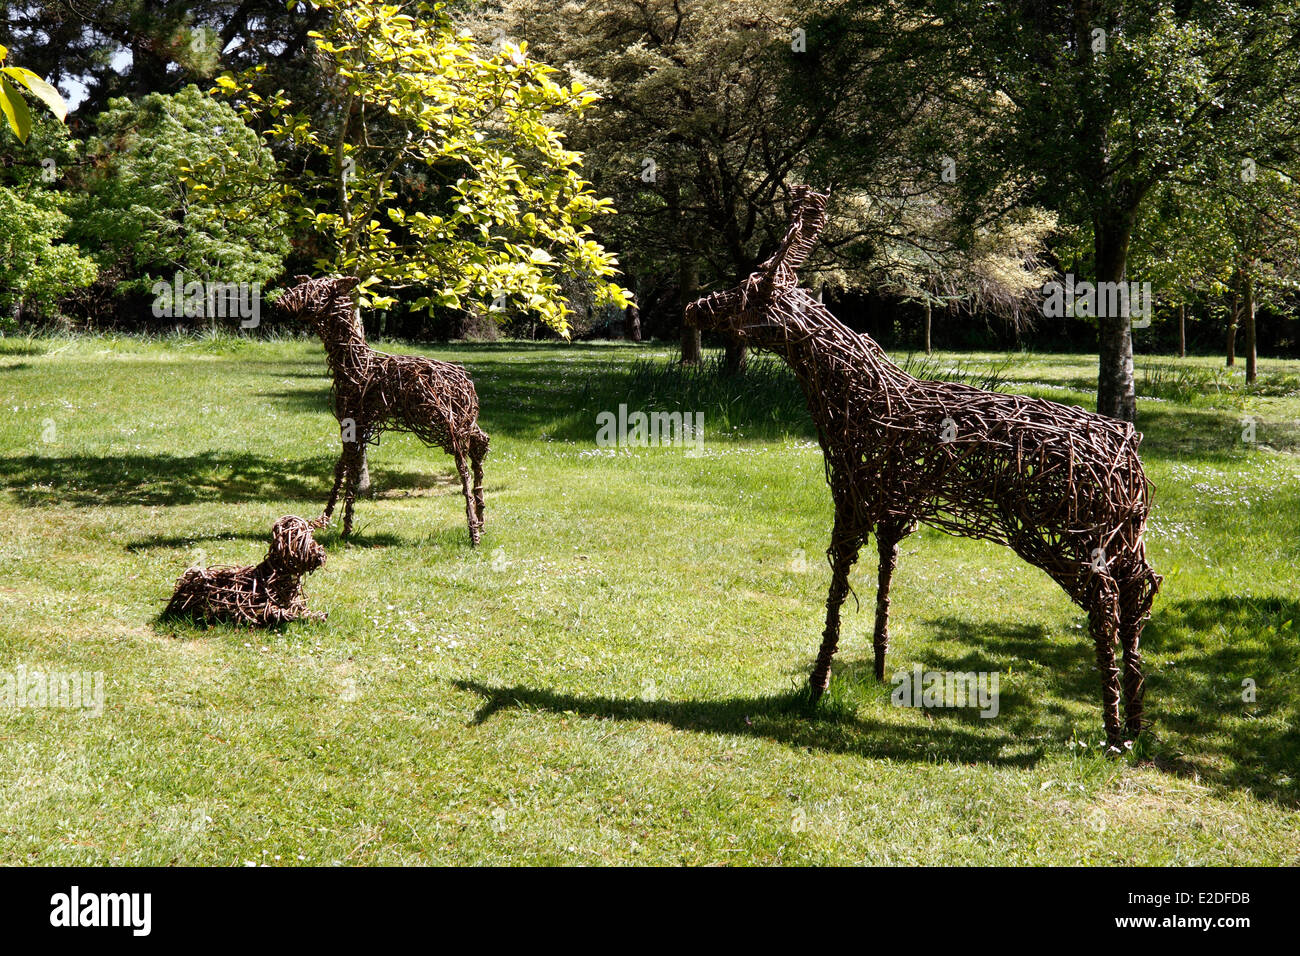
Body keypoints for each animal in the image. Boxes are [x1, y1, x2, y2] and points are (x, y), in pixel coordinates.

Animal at [276, 277, 488, 546]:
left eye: (315, 292)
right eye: (305, 286)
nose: (280, 301)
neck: (353, 367)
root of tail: (466, 385)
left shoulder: (354, 421)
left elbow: (349, 468)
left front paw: (340, 528)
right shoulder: (355, 425)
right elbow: (344, 466)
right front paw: (330, 522)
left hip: (442, 425)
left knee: (463, 464)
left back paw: (474, 534)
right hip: (464, 421)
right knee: (481, 444)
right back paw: (482, 522)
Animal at [686, 187, 1164, 749]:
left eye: (741, 292)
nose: (691, 308)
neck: (858, 397)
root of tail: (1128, 456)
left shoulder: (852, 502)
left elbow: (836, 591)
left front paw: (817, 686)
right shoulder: (895, 510)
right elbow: (885, 580)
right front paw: (876, 669)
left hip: (1061, 538)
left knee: (1106, 604)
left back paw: (1113, 731)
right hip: (1122, 538)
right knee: (1138, 596)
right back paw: (1135, 724)